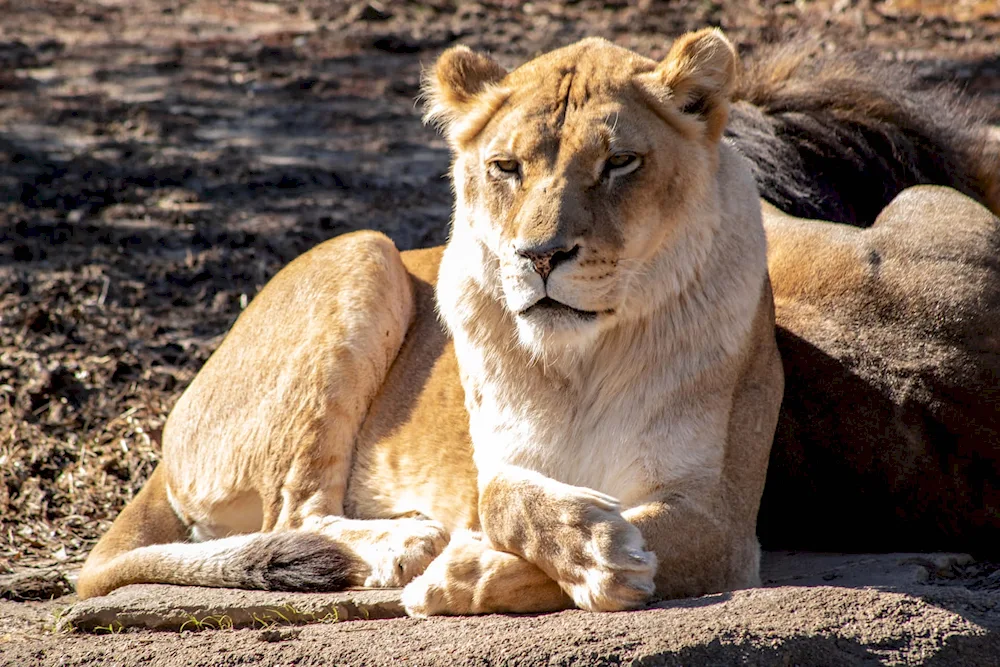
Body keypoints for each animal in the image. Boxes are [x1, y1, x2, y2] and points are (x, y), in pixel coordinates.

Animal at [77, 28, 785, 615]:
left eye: (619, 164)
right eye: (506, 167)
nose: (540, 256)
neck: (580, 360)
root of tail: (171, 431)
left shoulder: (722, 518)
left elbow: (644, 531)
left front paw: (474, 575)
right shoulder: (498, 462)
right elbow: (501, 499)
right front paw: (577, 549)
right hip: (364, 250)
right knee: (292, 517)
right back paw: (405, 543)